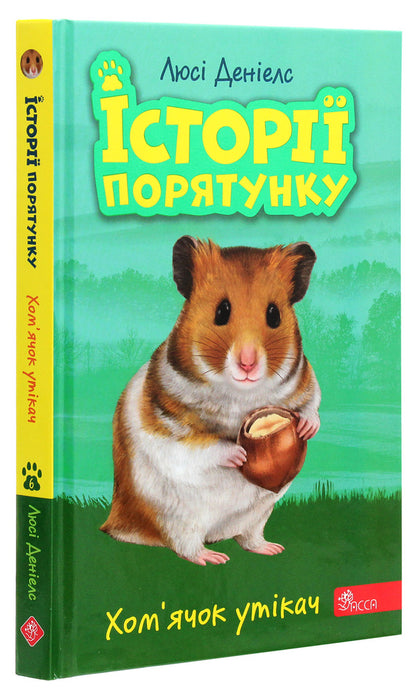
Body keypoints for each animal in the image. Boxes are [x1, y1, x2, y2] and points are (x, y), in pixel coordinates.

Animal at [101, 236, 321, 565]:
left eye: (274, 314)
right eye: (221, 311)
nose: (247, 364)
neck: (242, 395)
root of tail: (117, 521)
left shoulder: (306, 382)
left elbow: (312, 404)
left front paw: (306, 427)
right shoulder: (167, 432)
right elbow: (201, 448)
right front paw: (239, 455)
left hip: (257, 515)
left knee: (248, 537)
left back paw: (271, 549)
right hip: (176, 517)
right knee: (185, 546)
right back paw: (213, 558)